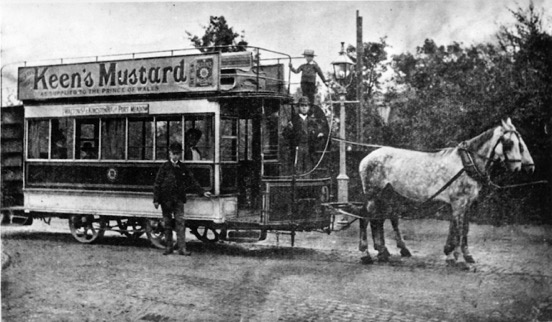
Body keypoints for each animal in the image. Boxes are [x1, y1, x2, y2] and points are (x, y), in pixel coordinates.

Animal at [356, 117, 532, 268]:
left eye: (520, 143)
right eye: (509, 142)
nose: (518, 167)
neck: (466, 164)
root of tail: (366, 158)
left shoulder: (466, 203)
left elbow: (463, 229)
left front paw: (460, 255)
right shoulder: (458, 202)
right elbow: (459, 230)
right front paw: (458, 257)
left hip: (386, 195)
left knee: (378, 219)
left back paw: (383, 252)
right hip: (373, 194)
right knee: (365, 218)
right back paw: (366, 255)